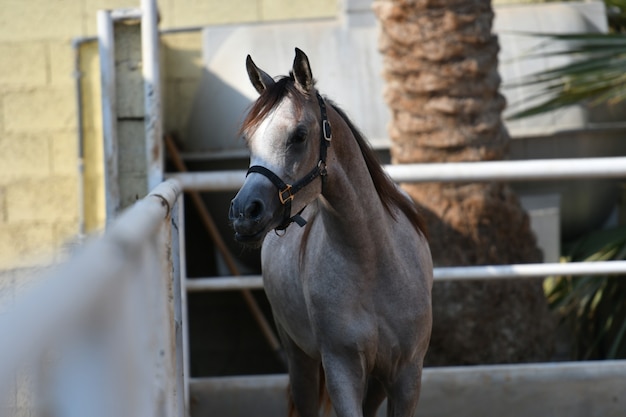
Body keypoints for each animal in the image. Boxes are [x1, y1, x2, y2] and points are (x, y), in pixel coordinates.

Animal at [227, 48, 432, 416]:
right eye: (250, 139)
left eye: (298, 135)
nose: (244, 213)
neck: (374, 262)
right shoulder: (342, 369)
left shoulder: (407, 375)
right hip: (301, 360)